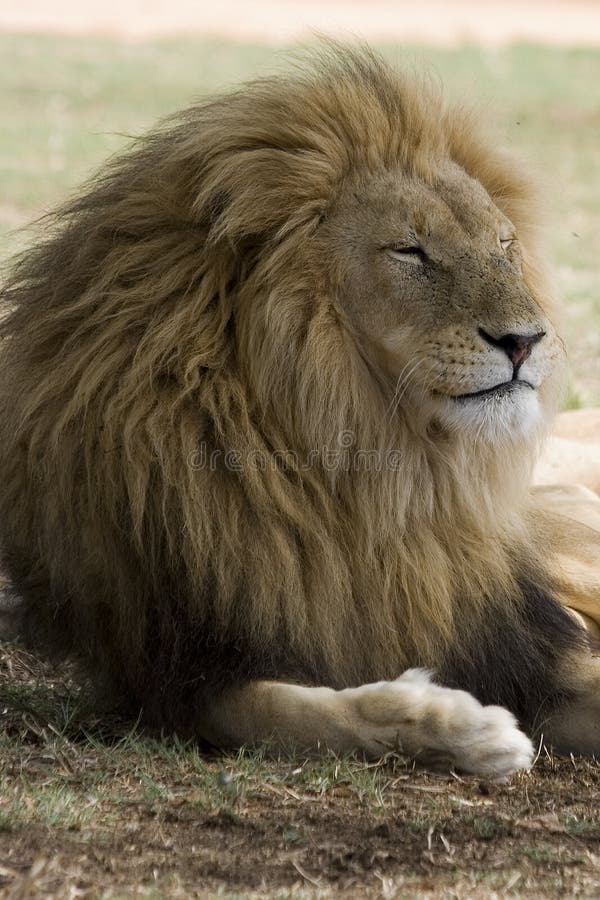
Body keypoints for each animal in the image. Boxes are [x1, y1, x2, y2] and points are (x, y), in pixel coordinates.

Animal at [1, 47, 600, 772]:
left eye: (505, 246)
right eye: (410, 250)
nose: (526, 340)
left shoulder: (518, 638)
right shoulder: (182, 670)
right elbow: (288, 714)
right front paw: (457, 725)